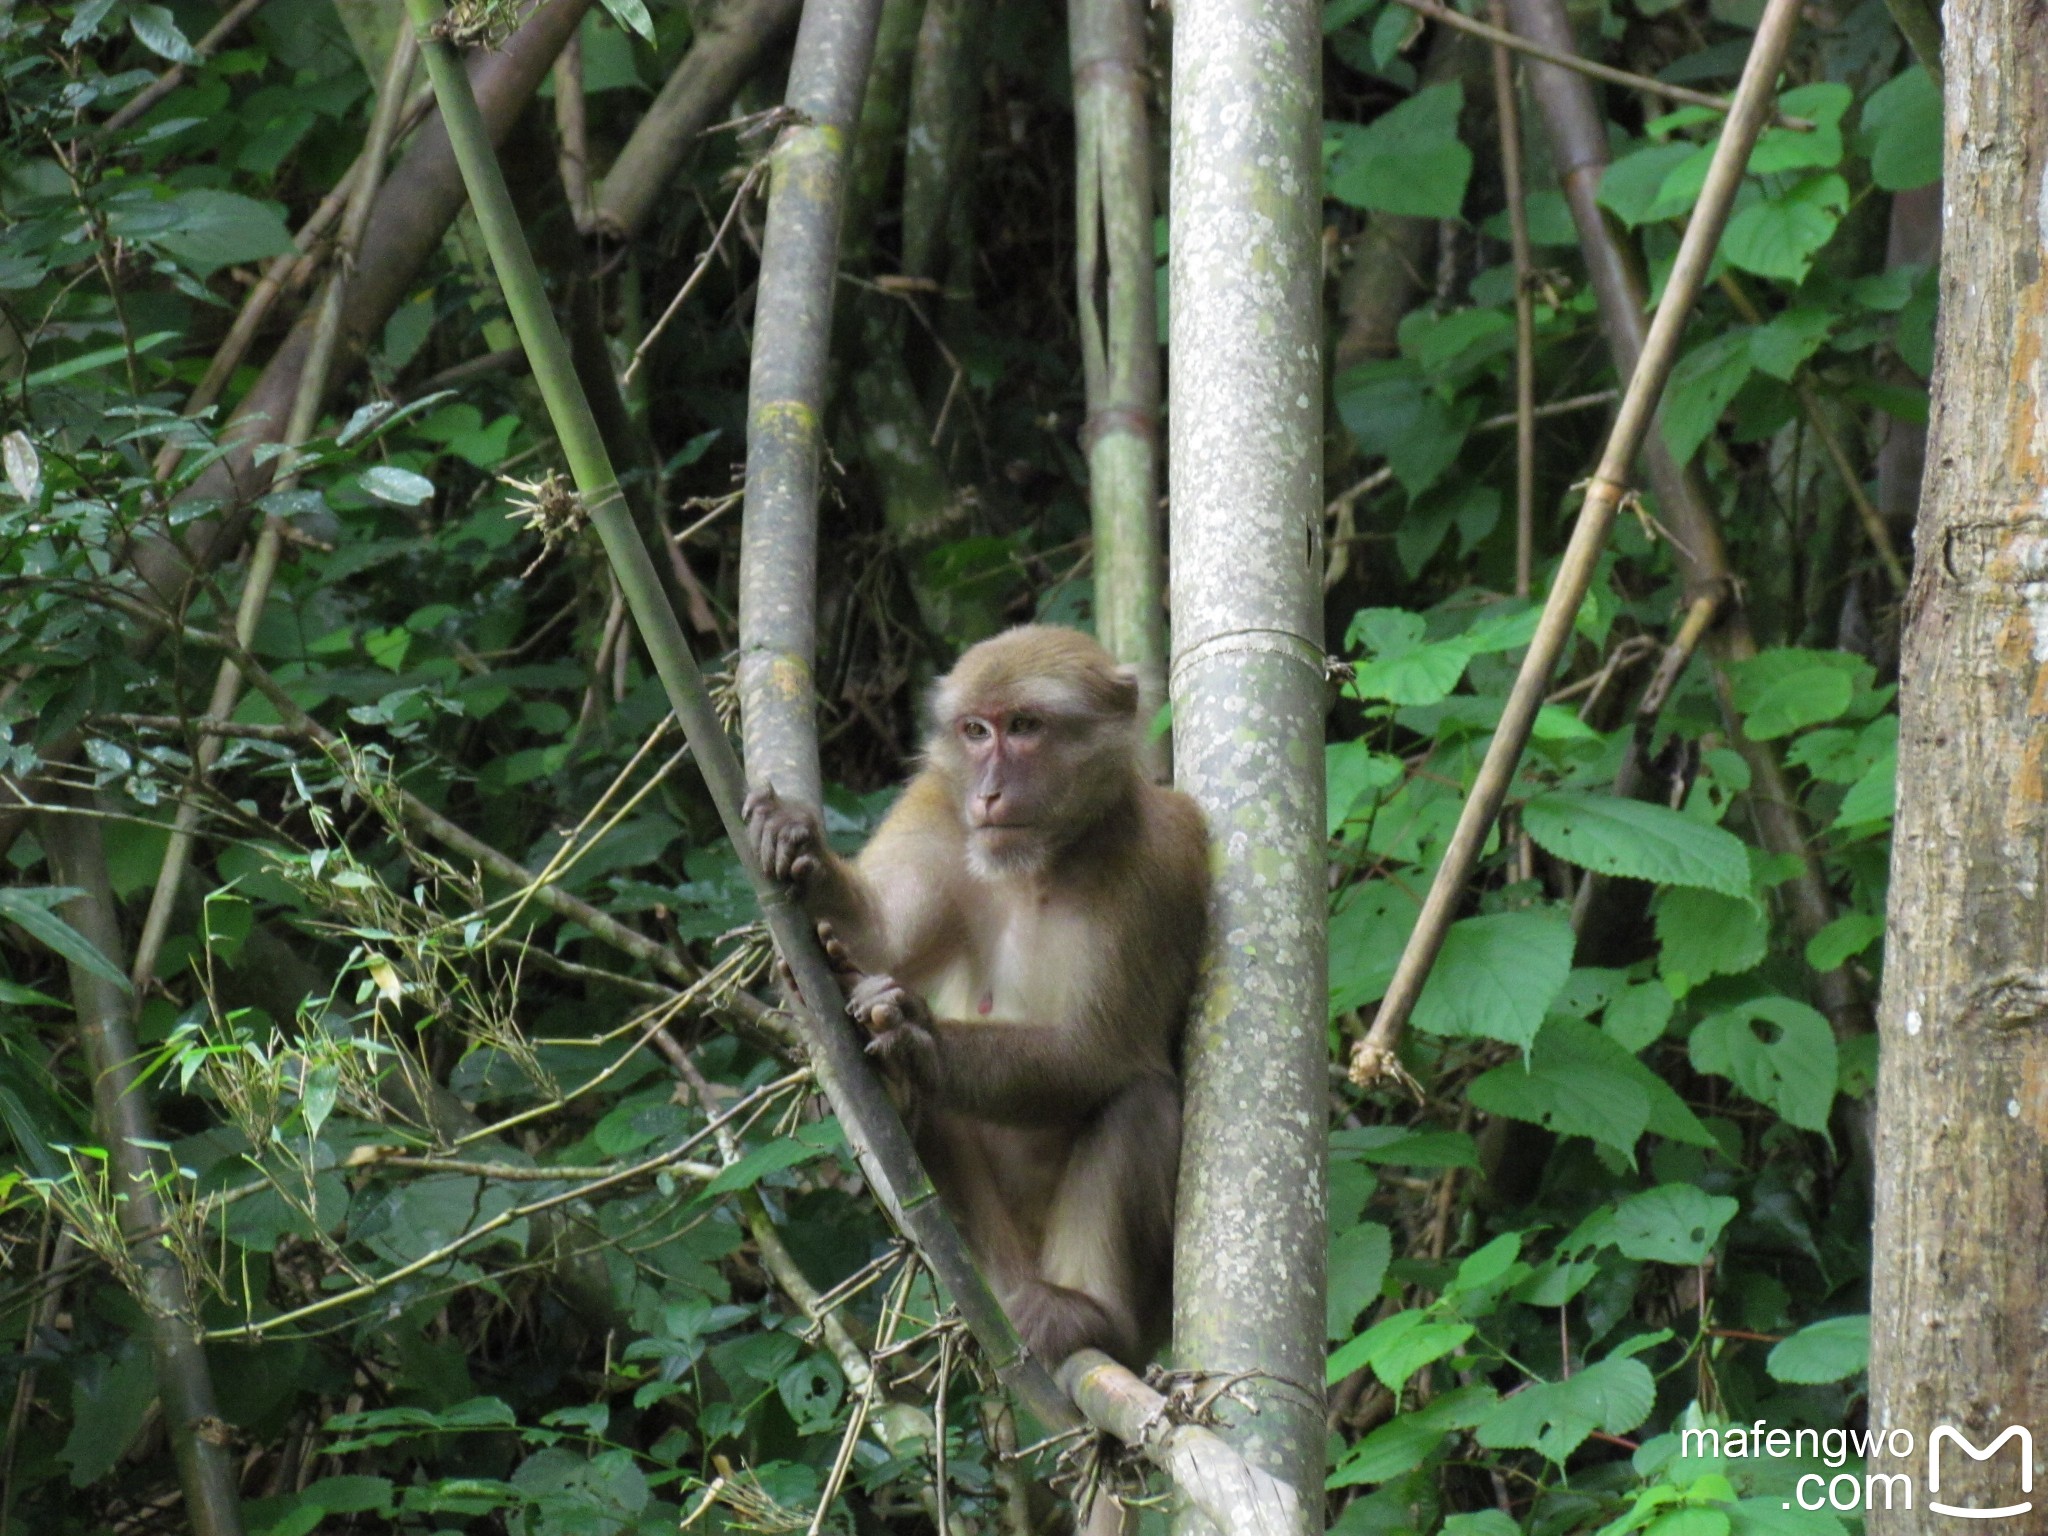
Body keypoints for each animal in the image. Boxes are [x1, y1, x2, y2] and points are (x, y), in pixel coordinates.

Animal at [745, 626, 1204, 1368]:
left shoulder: (1163, 860)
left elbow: (1105, 1052)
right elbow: (883, 936)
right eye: (975, 730)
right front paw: (802, 854)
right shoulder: (937, 805)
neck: (1042, 864)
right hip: (992, 1251)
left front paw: (918, 1036)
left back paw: (1089, 1317)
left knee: (1139, 1100)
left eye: (1024, 727)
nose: (988, 792)